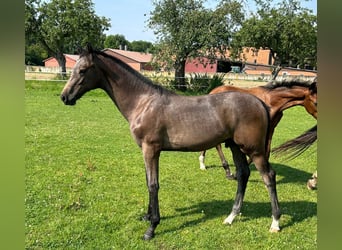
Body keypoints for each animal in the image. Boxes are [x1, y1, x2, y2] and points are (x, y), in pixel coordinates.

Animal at [60, 45, 280, 240]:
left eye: (82, 70)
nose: (64, 97)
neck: (143, 102)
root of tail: (260, 102)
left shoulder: (151, 149)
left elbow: (153, 184)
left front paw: (151, 227)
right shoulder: (146, 151)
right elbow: (148, 181)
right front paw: (147, 216)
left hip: (254, 150)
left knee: (268, 176)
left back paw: (275, 223)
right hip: (235, 147)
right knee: (243, 174)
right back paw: (231, 217)